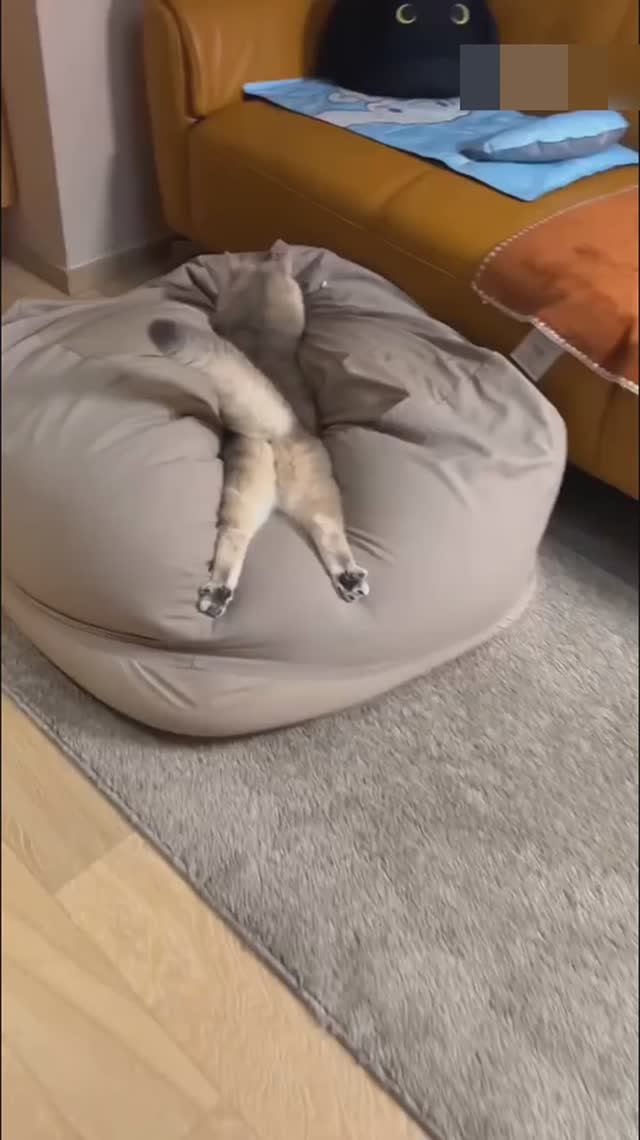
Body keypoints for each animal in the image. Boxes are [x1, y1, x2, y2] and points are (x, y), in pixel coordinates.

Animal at [148, 244, 369, 620]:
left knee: (242, 534)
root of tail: (282, 427)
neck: (259, 309)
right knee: (316, 528)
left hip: (258, 486)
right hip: (291, 485)